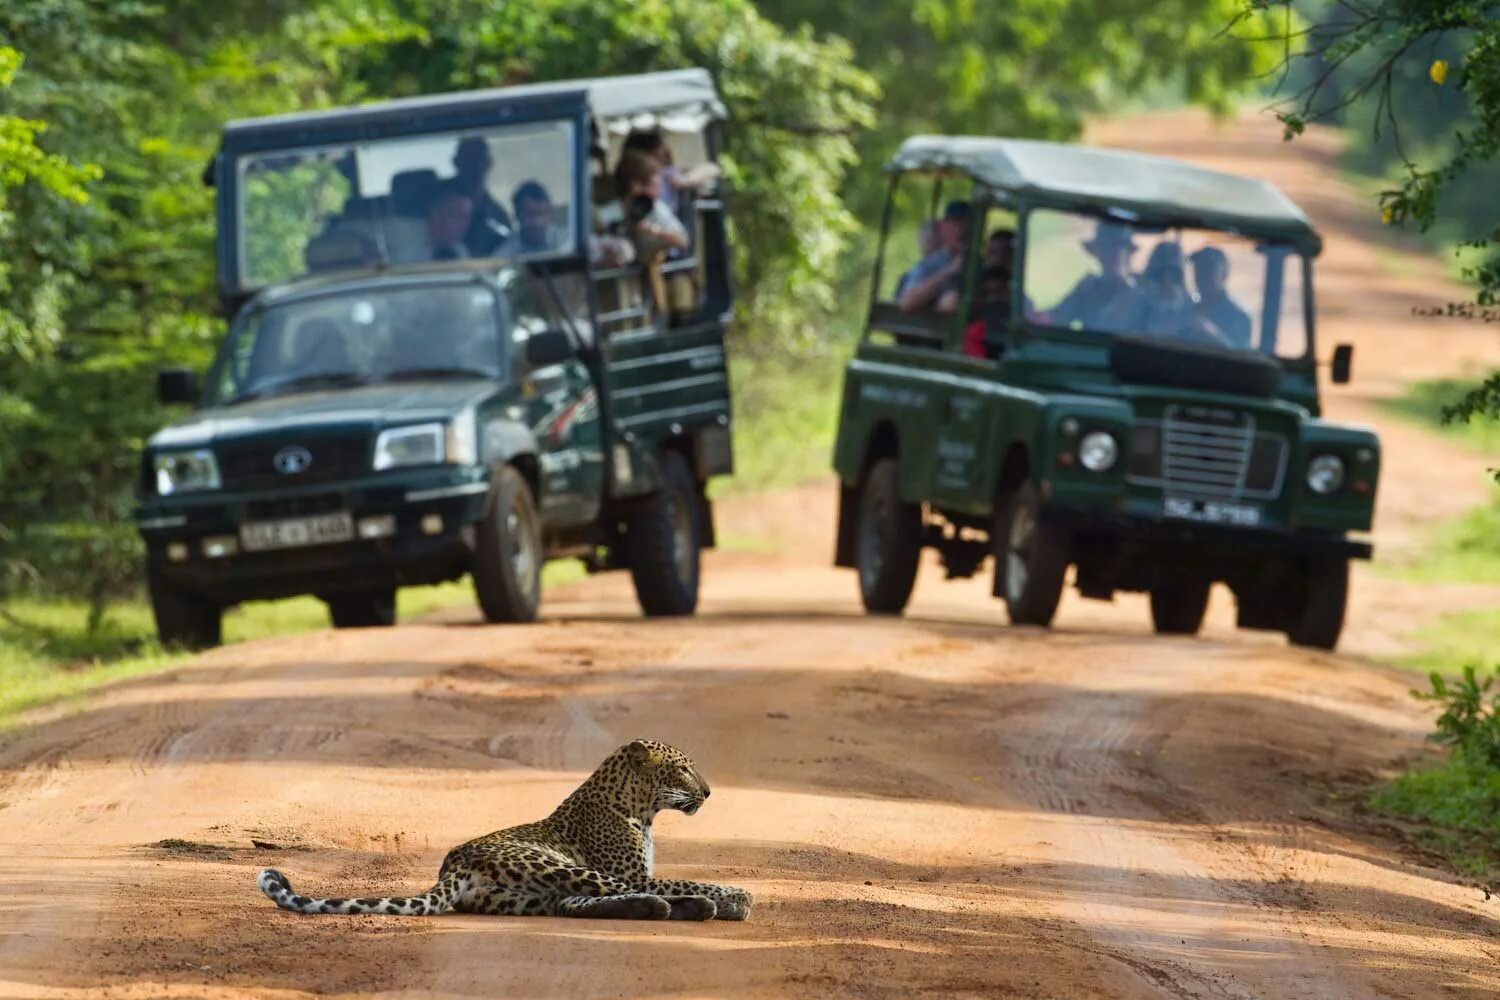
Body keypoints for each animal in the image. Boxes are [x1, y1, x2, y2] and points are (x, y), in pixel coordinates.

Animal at [258, 734, 756, 923]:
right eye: (683, 769)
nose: (708, 792)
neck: (640, 808)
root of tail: (452, 864)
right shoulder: (632, 872)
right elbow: (683, 878)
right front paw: (736, 893)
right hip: (556, 867)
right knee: (628, 893)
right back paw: (706, 907)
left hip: (532, 895)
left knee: (575, 905)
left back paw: (665, 910)